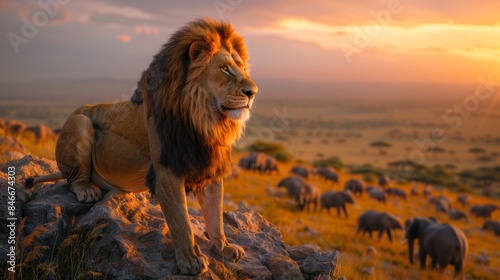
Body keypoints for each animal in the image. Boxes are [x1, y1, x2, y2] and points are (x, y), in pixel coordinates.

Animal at [25, 19, 258, 276]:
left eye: (243, 69)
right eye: (225, 69)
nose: (253, 92)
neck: (205, 121)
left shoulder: (209, 166)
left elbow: (215, 215)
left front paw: (223, 248)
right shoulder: (167, 171)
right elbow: (181, 220)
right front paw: (190, 260)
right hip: (80, 120)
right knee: (72, 179)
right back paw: (87, 189)